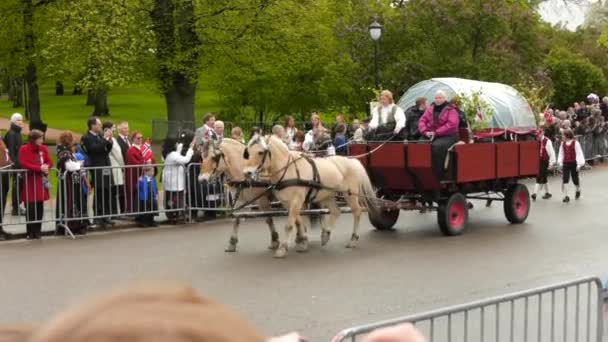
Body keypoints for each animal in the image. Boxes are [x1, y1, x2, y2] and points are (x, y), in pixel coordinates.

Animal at [241, 135, 376, 258]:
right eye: (248, 152)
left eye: (260, 152)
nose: (246, 173)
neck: (289, 169)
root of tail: (353, 161)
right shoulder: (288, 203)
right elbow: (298, 222)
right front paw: (303, 241)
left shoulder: (297, 200)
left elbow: (289, 225)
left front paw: (282, 248)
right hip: (328, 195)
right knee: (336, 211)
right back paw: (326, 235)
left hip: (349, 194)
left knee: (357, 211)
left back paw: (353, 239)